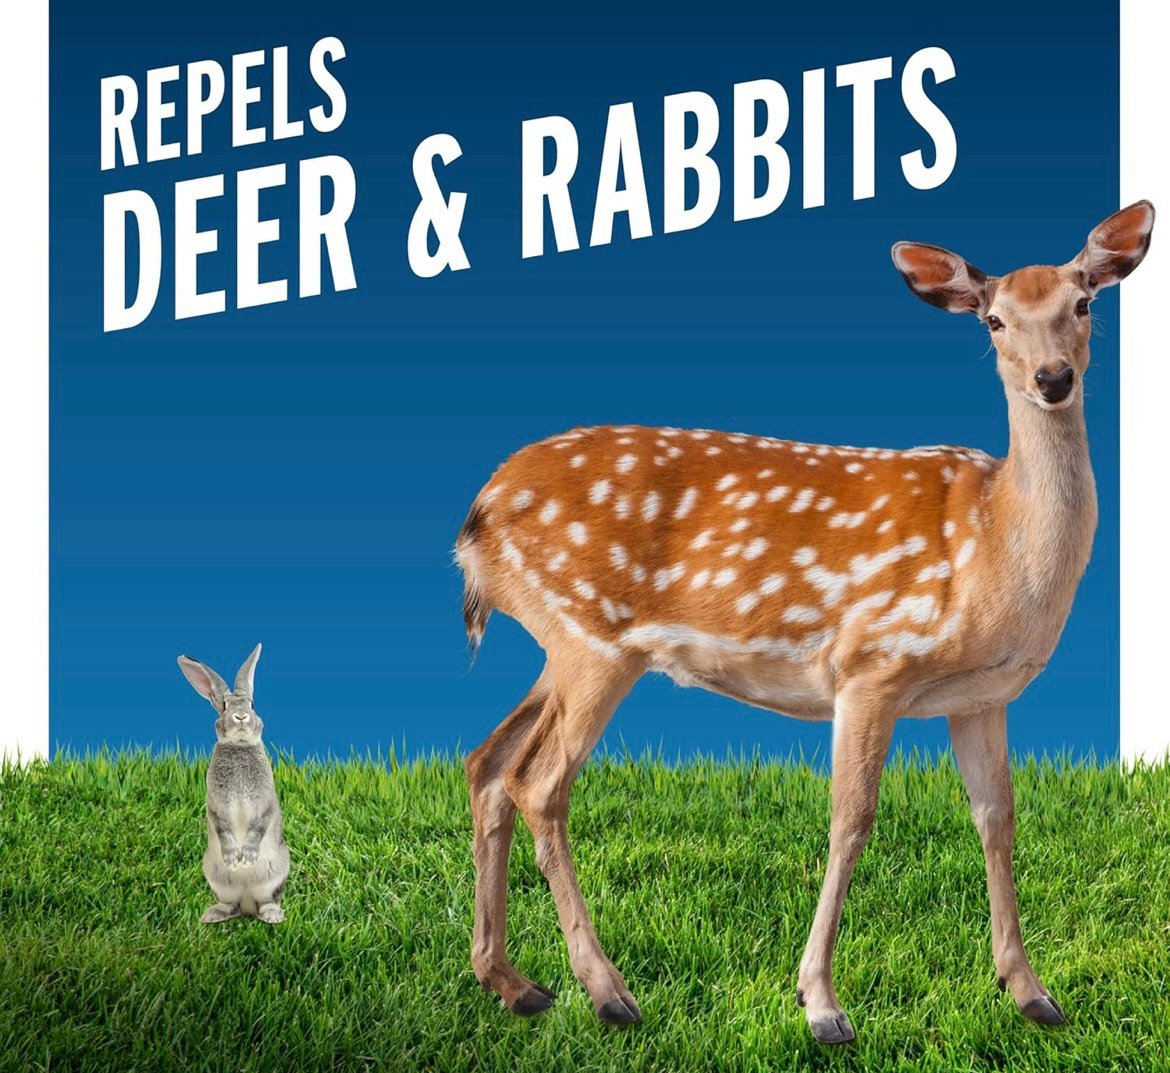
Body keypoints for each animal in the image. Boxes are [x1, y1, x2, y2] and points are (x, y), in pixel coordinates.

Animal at [178, 643, 289, 925]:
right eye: (225, 707)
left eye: (252, 703)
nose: (240, 716)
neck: (239, 746)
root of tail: (247, 903)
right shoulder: (217, 805)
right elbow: (223, 827)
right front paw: (233, 859)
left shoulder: (264, 802)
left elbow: (259, 825)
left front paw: (246, 857)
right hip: (218, 880)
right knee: (231, 905)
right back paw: (213, 914)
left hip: (275, 875)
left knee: (266, 901)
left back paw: (272, 915)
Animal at [454, 202, 1154, 1043]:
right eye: (993, 320)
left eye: (1084, 303)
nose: (1053, 378)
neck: (995, 545)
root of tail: (476, 515)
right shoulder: (871, 663)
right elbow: (851, 820)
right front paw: (821, 1002)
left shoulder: (981, 695)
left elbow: (999, 818)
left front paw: (1030, 990)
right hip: (594, 637)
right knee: (538, 782)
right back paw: (606, 990)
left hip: (562, 644)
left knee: (487, 761)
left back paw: (512, 982)